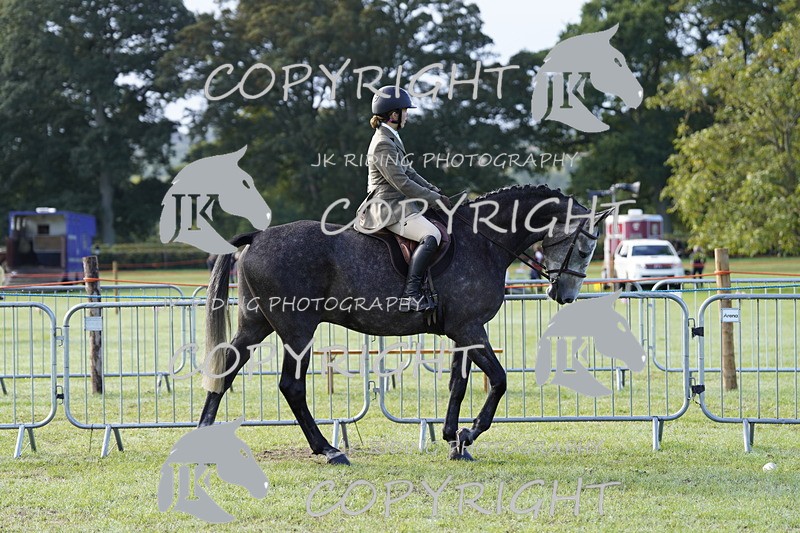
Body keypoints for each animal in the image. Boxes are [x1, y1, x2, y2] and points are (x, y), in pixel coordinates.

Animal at [198, 184, 610, 464]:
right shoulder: (470, 329)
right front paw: (470, 433)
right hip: (297, 330)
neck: (484, 240)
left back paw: (202, 437)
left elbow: (458, 384)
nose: (565, 295)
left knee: (226, 370)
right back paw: (329, 450)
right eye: (585, 247)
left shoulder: (464, 331)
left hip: (256, 324)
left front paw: (453, 440)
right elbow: (499, 380)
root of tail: (258, 237)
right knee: (291, 387)